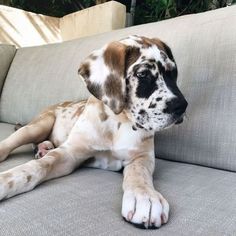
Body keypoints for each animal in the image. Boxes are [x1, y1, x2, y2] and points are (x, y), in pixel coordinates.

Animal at [0, 35, 188, 229]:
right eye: (143, 74)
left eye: (173, 72)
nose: (181, 107)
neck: (118, 121)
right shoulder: (69, 154)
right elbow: (36, 166)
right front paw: (6, 180)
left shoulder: (142, 157)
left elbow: (139, 173)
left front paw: (145, 197)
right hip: (38, 126)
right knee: (10, 143)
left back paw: (44, 148)